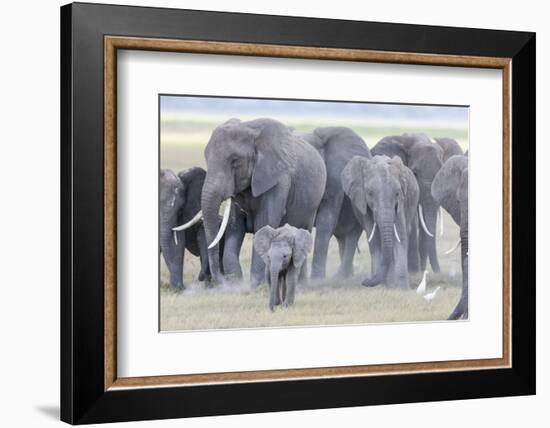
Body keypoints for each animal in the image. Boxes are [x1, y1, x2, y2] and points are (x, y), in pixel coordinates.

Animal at [201, 118, 326, 288]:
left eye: (234, 161)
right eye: (206, 158)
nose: (221, 282)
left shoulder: (279, 180)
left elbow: (263, 224)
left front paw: (255, 285)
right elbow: (235, 228)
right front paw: (237, 282)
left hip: (312, 205)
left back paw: (299, 285)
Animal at [304, 126, 374, 280]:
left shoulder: (335, 177)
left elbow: (326, 220)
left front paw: (316, 280)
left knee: (351, 235)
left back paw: (341, 277)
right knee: (342, 237)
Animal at [342, 155, 420, 290]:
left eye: (397, 193)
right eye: (370, 193)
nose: (364, 281)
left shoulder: (401, 203)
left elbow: (400, 235)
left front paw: (402, 289)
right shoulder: (363, 205)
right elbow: (374, 238)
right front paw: (382, 286)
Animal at [374, 134, 446, 272]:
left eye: (440, 174)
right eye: (415, 173)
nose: (439, 272)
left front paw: (420, 270)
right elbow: (413, 220)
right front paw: (413, 271)